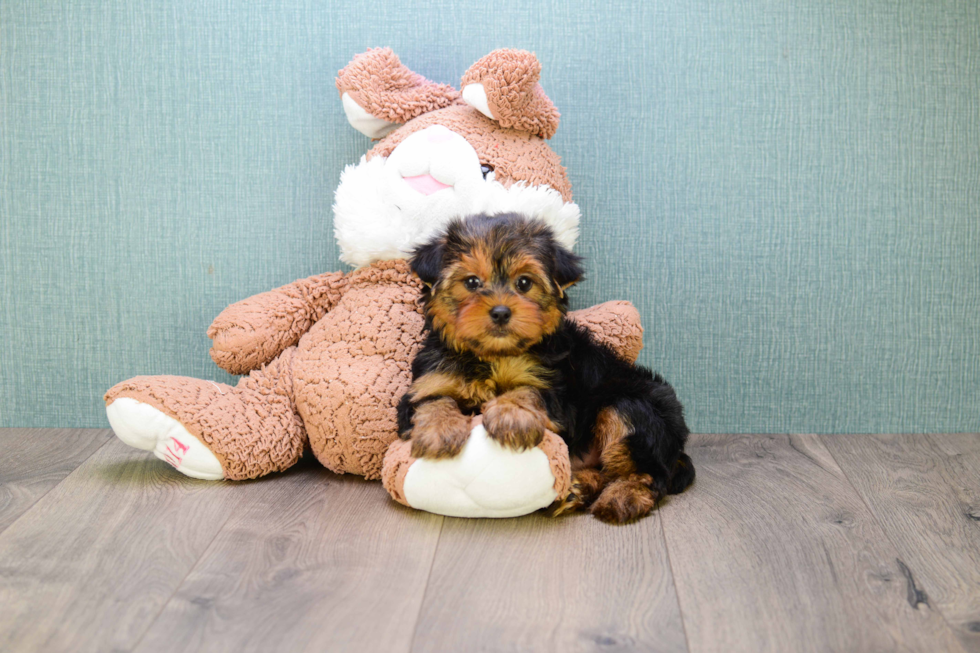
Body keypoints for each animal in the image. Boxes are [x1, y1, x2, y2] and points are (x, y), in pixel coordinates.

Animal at [394, 214, 692, 524]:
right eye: (472, 282)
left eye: (524, 283)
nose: (500, 312)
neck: (492, 356)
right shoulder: (430, 379)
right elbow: (432, 399)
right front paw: (437, 431)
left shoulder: (553, 390)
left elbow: (528, 391)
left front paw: (512, 416)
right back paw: (577, 490)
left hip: (636, 408)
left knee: (649, 471)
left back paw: (622, 497)